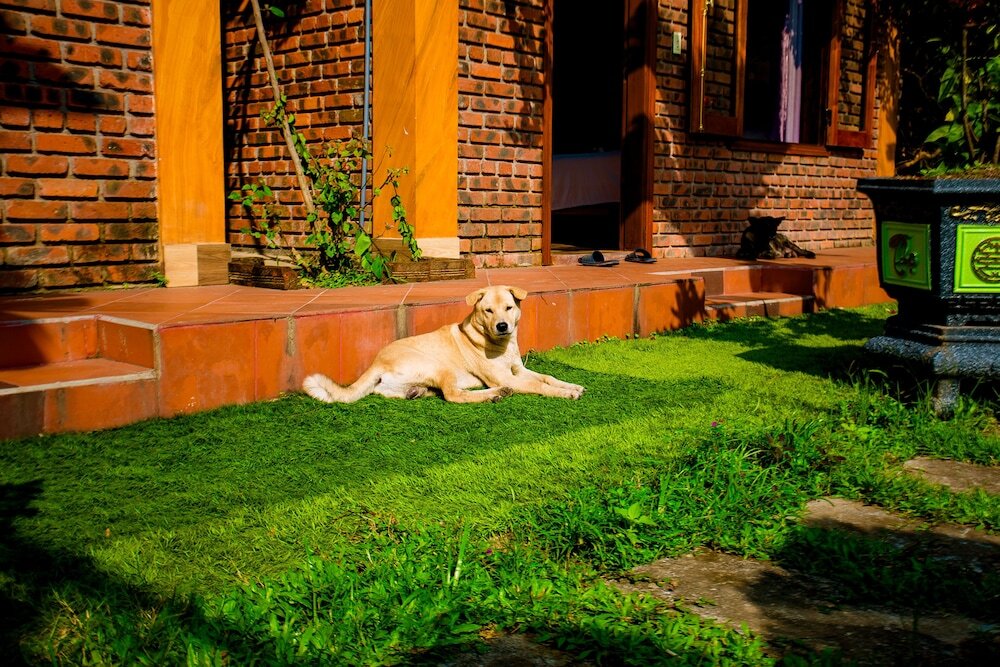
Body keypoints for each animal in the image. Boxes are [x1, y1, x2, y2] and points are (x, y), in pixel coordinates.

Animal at [302, 286, 584, 404]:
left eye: (508, 308)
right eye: (488, 311)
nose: (503, 326)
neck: (501, 345)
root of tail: (377, 362)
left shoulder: (519, 371)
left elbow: (547, 377)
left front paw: (571, 385)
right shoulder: (509, 377)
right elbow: (539, 386)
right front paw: (564, 394)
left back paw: (419, 392)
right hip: (439, 366)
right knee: (452, 396)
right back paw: (494, 394)